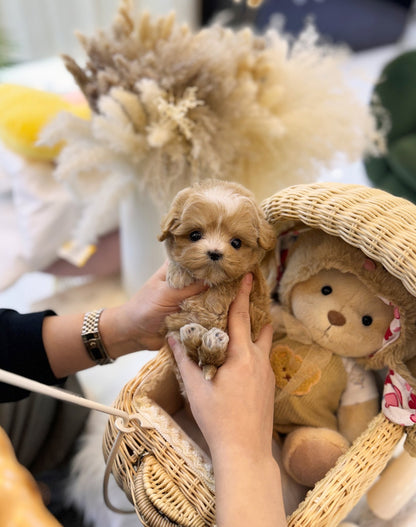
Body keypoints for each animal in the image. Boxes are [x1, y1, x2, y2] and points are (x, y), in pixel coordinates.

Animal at [159, 182, 276, 380]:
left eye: (236, 243)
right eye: (195, 235)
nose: (214, 253)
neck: (210, 279)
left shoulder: (252, 284)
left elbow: (233, 281)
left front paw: (215, 301)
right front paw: (177, 274)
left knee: (209, 359)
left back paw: (212, 342)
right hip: (174, 329)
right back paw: (195, 334)